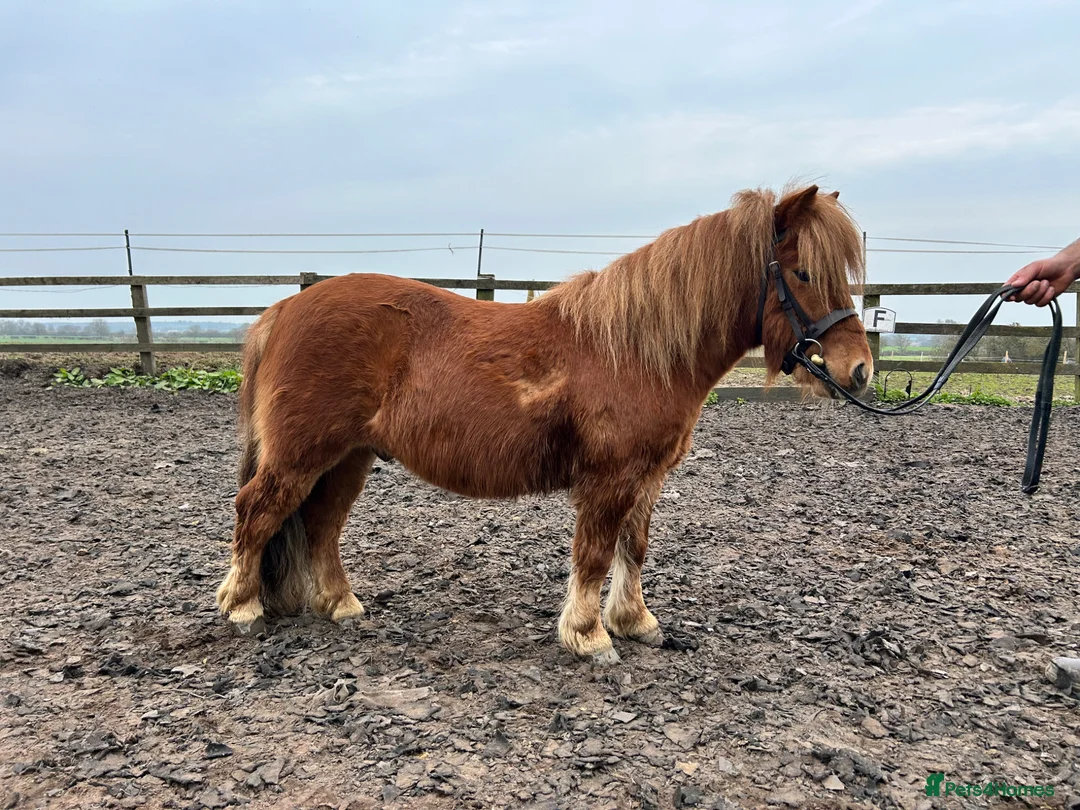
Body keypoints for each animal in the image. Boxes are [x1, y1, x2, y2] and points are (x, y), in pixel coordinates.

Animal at [215, 183, 873, 665]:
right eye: (805, 274)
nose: (859, 370)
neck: (634, 349)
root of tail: (285, 307)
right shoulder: (608, 478)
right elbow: (595, 552)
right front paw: (588, 635)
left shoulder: (647, 476)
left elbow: (633, 547)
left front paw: (634, 622)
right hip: (301, 454)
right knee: (258, 510)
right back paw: (242, 608)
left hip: (348, 457)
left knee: (320, 526)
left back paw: (341, 605)